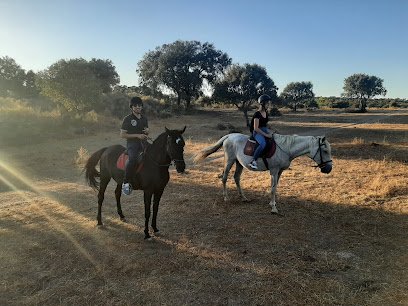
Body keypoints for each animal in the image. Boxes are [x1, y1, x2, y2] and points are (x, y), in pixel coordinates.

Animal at [194, 133, 332, 214]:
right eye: (325, 150)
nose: (329, 169)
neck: (286, 148)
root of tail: (229, 136)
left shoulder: (279, 171)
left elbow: (275, 187)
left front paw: (272, 203)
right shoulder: (274, 170)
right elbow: (273, 189)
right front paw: (274, 208)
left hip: (239, 163)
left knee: (236, 177)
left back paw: (243, 197)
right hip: (229, 160)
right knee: (224, 177)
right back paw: (226, 197)